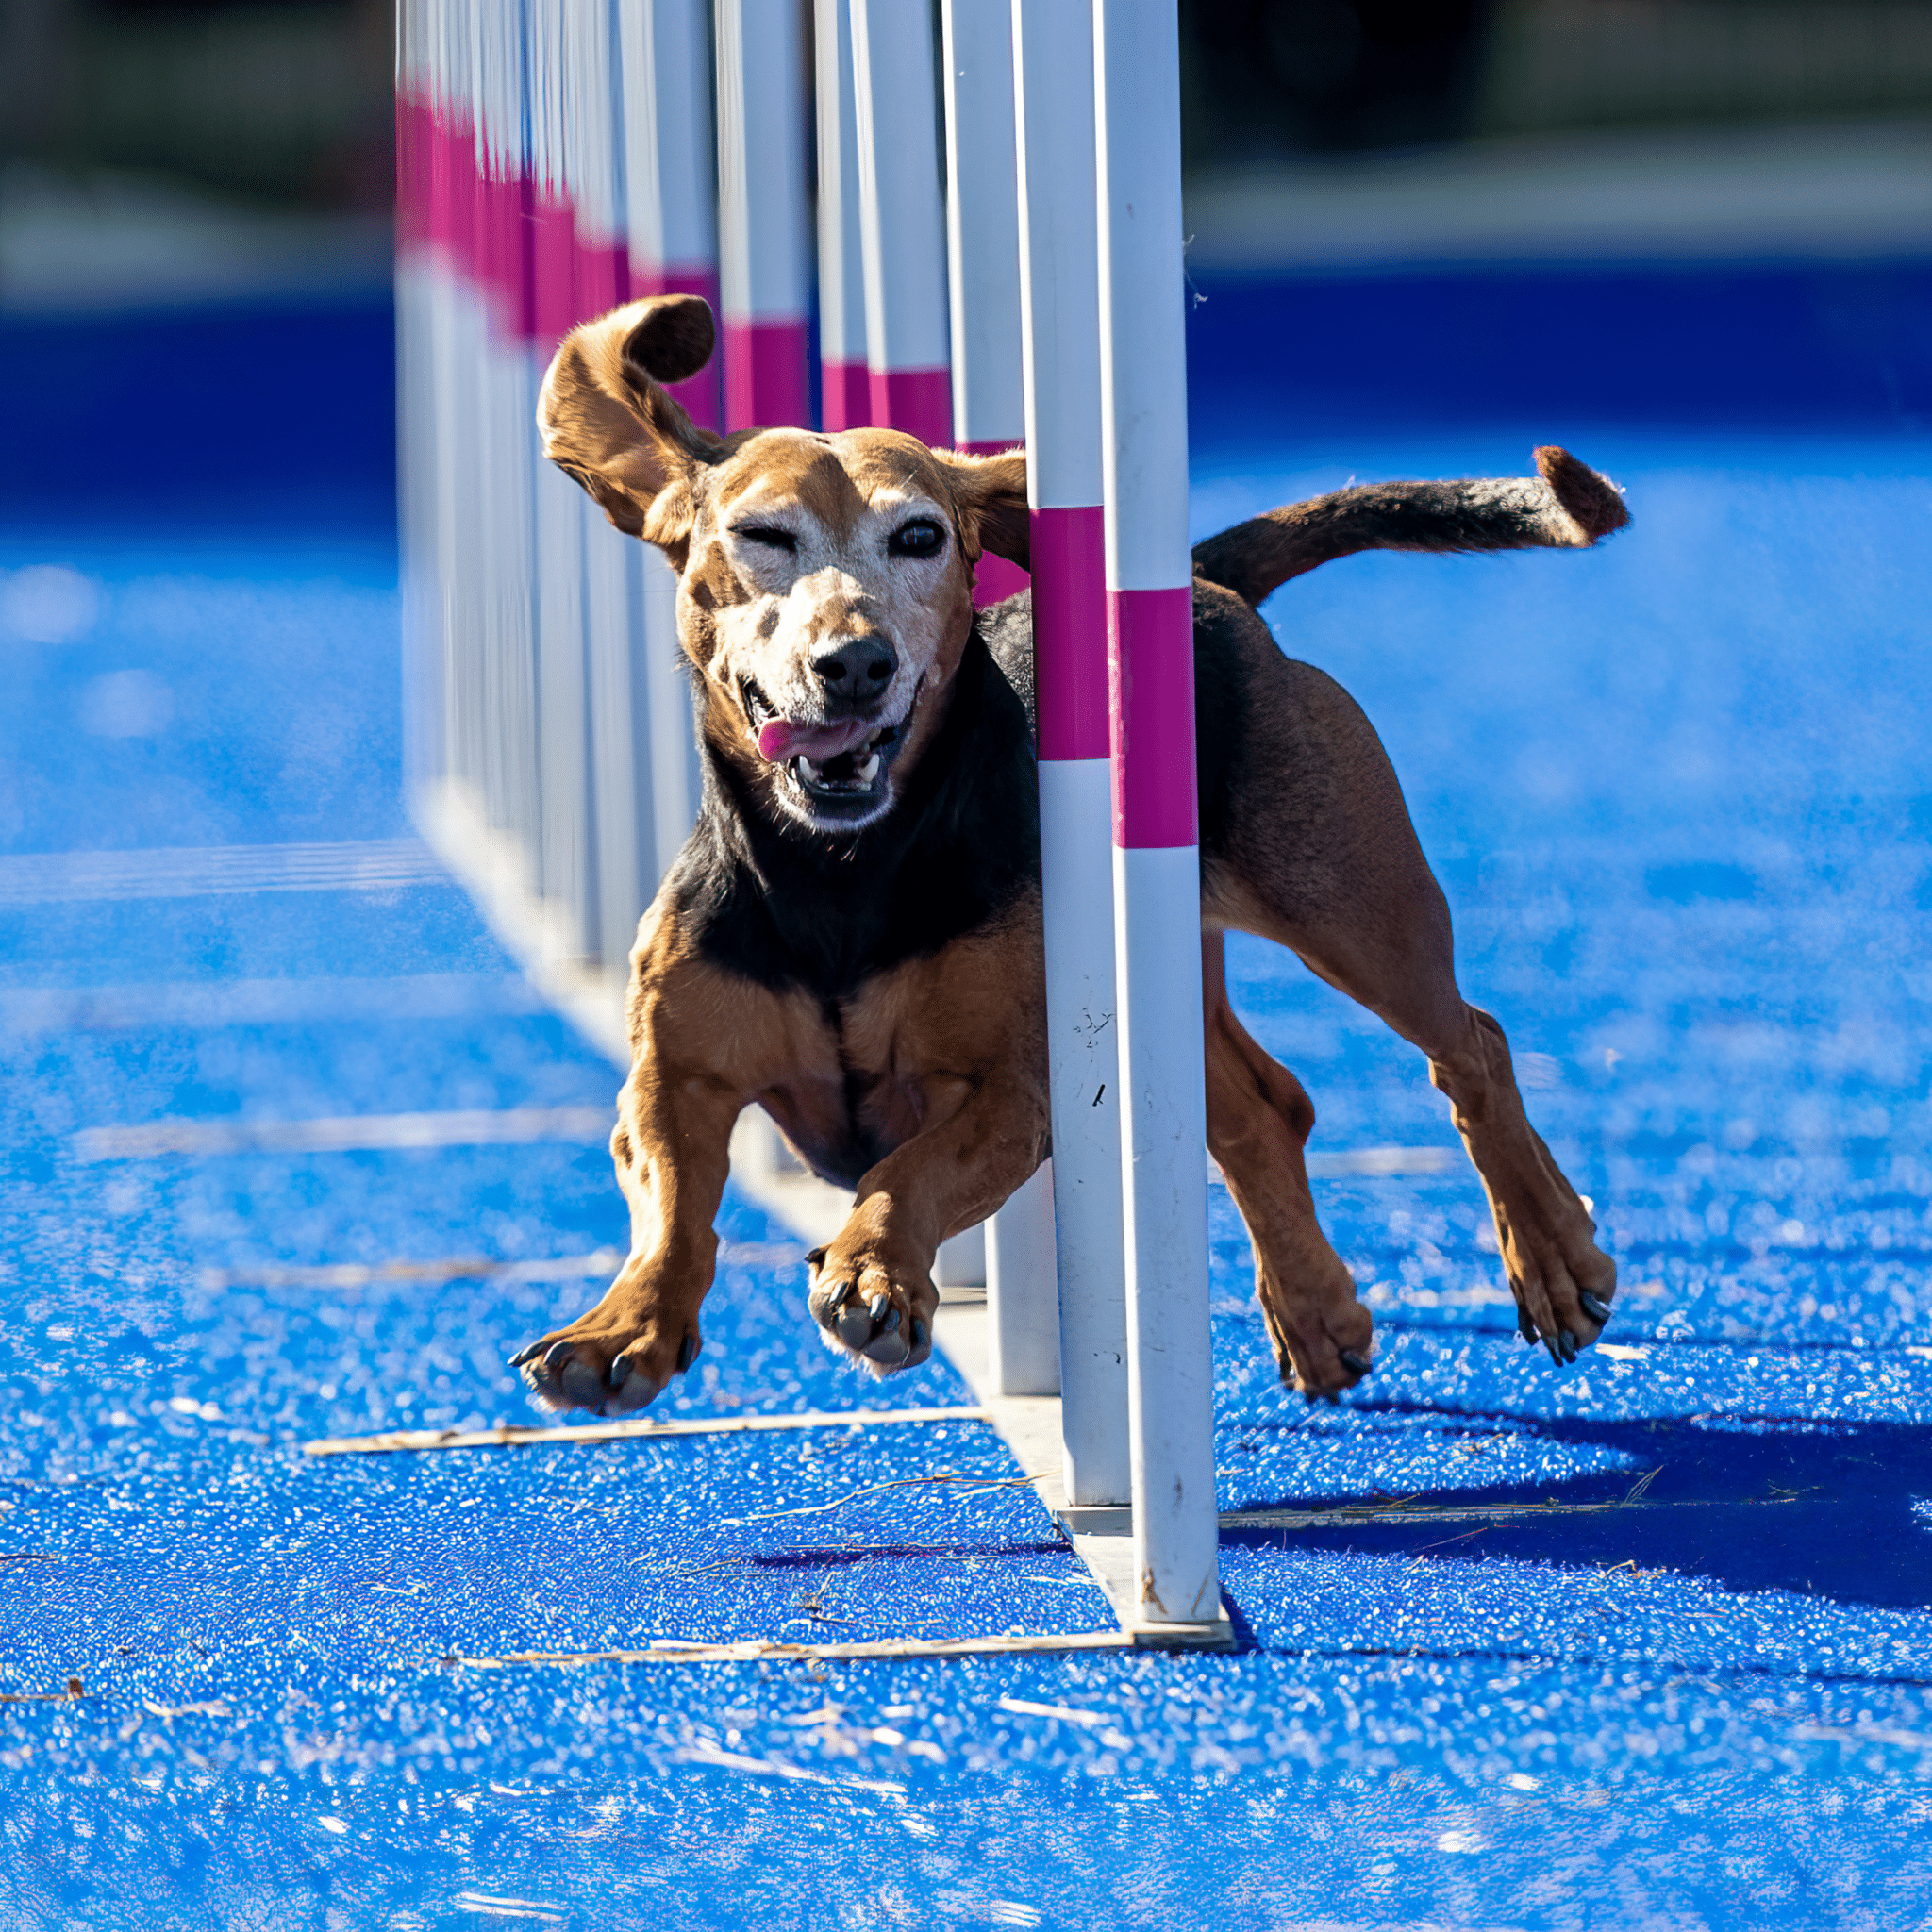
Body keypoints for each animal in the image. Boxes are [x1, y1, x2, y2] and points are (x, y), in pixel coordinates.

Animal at [509, 293, 1615, 1422]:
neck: (839, 871)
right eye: (761, 535)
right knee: (1265, 1110)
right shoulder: (671, 1078)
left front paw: (872, 1272)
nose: (854, 663)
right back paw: (1314, 1312)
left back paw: (1551, 1255)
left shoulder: (1010, 1091)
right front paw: (623, 1326)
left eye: (920, 536)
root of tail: (1209, 585)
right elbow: (669, 1206)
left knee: (1469, 1048)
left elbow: (905, 1174)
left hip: (1350, 908)